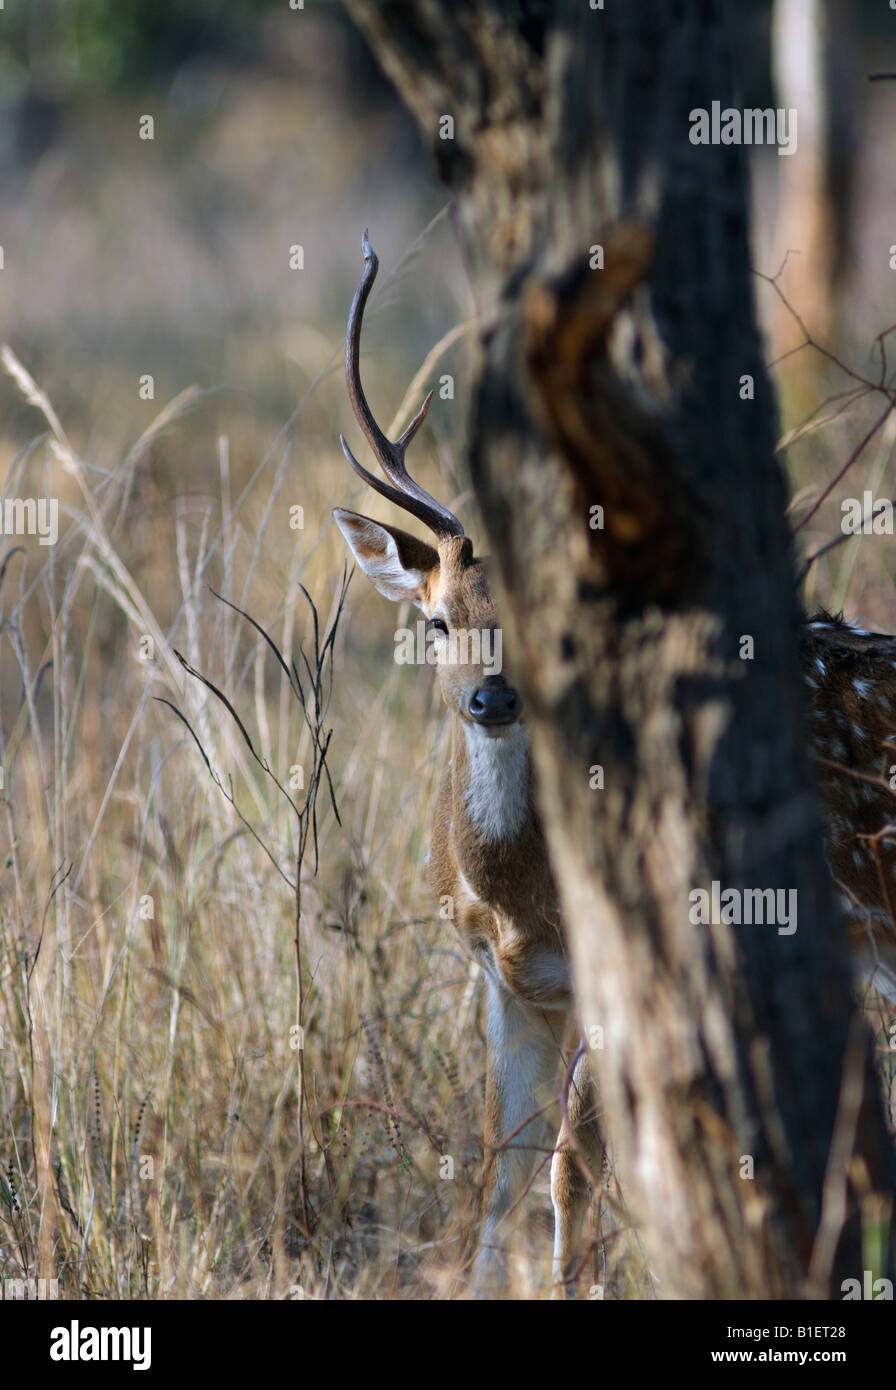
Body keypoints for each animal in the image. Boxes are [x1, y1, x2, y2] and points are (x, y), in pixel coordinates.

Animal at [332, 230, 889, 1301]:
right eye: (437, 620)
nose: (492, 699)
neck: (517, 901)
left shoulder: (617, 967)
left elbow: (570, 1170)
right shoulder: (503, 985)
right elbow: (499, 1170)